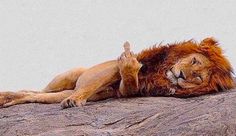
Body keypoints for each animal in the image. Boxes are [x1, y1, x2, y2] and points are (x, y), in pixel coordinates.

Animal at [0, 37, 234, 108]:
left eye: (198, 77)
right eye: (194, 61)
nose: (182, 75)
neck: (161, 72)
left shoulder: (129, 89)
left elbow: (128, 84)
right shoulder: (113, 67)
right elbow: (114, 69)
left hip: (62, 93)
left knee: (34, 95)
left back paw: (9, 99)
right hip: (68, 78)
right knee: (40, 90)